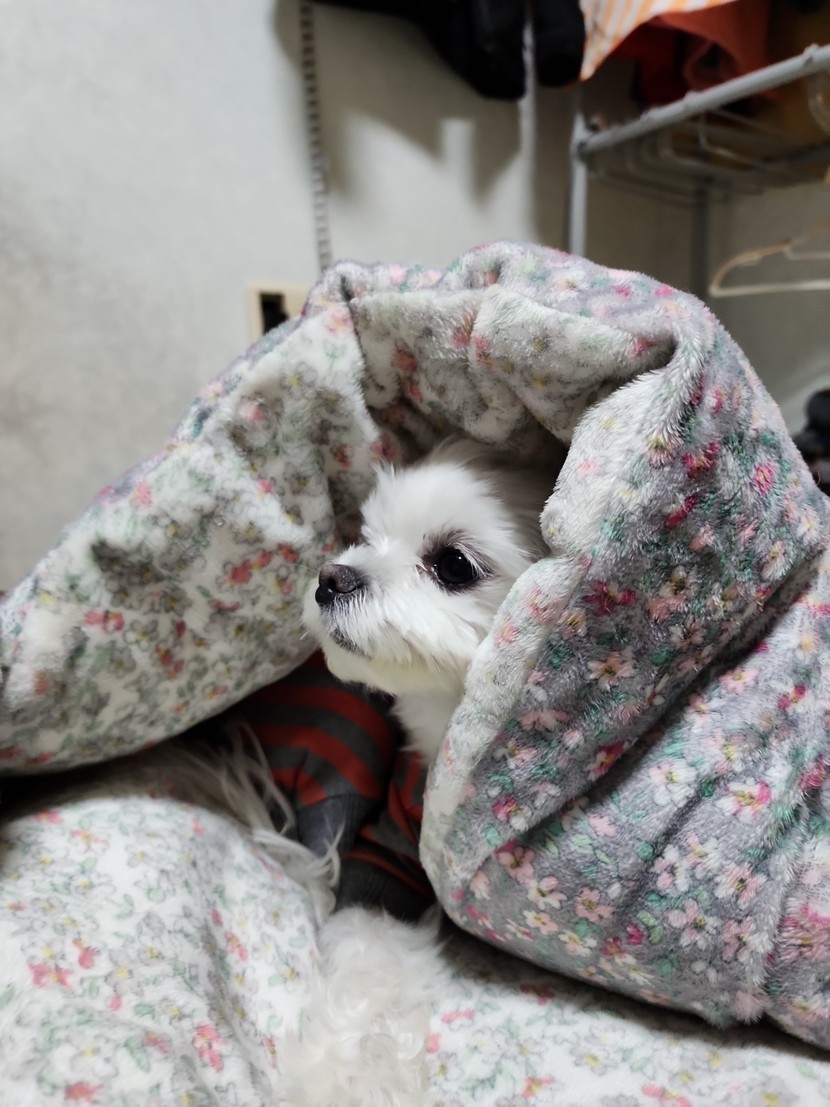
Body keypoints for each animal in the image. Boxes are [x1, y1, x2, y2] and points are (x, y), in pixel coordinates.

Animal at [286, 438, 550, 1106]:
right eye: (365, 535)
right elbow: (367, 956)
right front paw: (349, 1079)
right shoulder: (393, 843)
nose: (331, 577)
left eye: (453, 564)